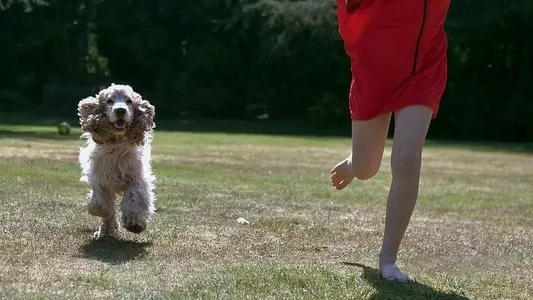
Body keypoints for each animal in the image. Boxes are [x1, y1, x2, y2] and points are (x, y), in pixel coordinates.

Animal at [77, 83, 156, 238]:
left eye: (129, 101)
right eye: (109, 101)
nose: (120, 110)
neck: (117, 143)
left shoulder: (136, 177)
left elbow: (135, 197)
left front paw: (135, 223)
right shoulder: (101, 179)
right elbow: (100, 205)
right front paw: (109, 220)